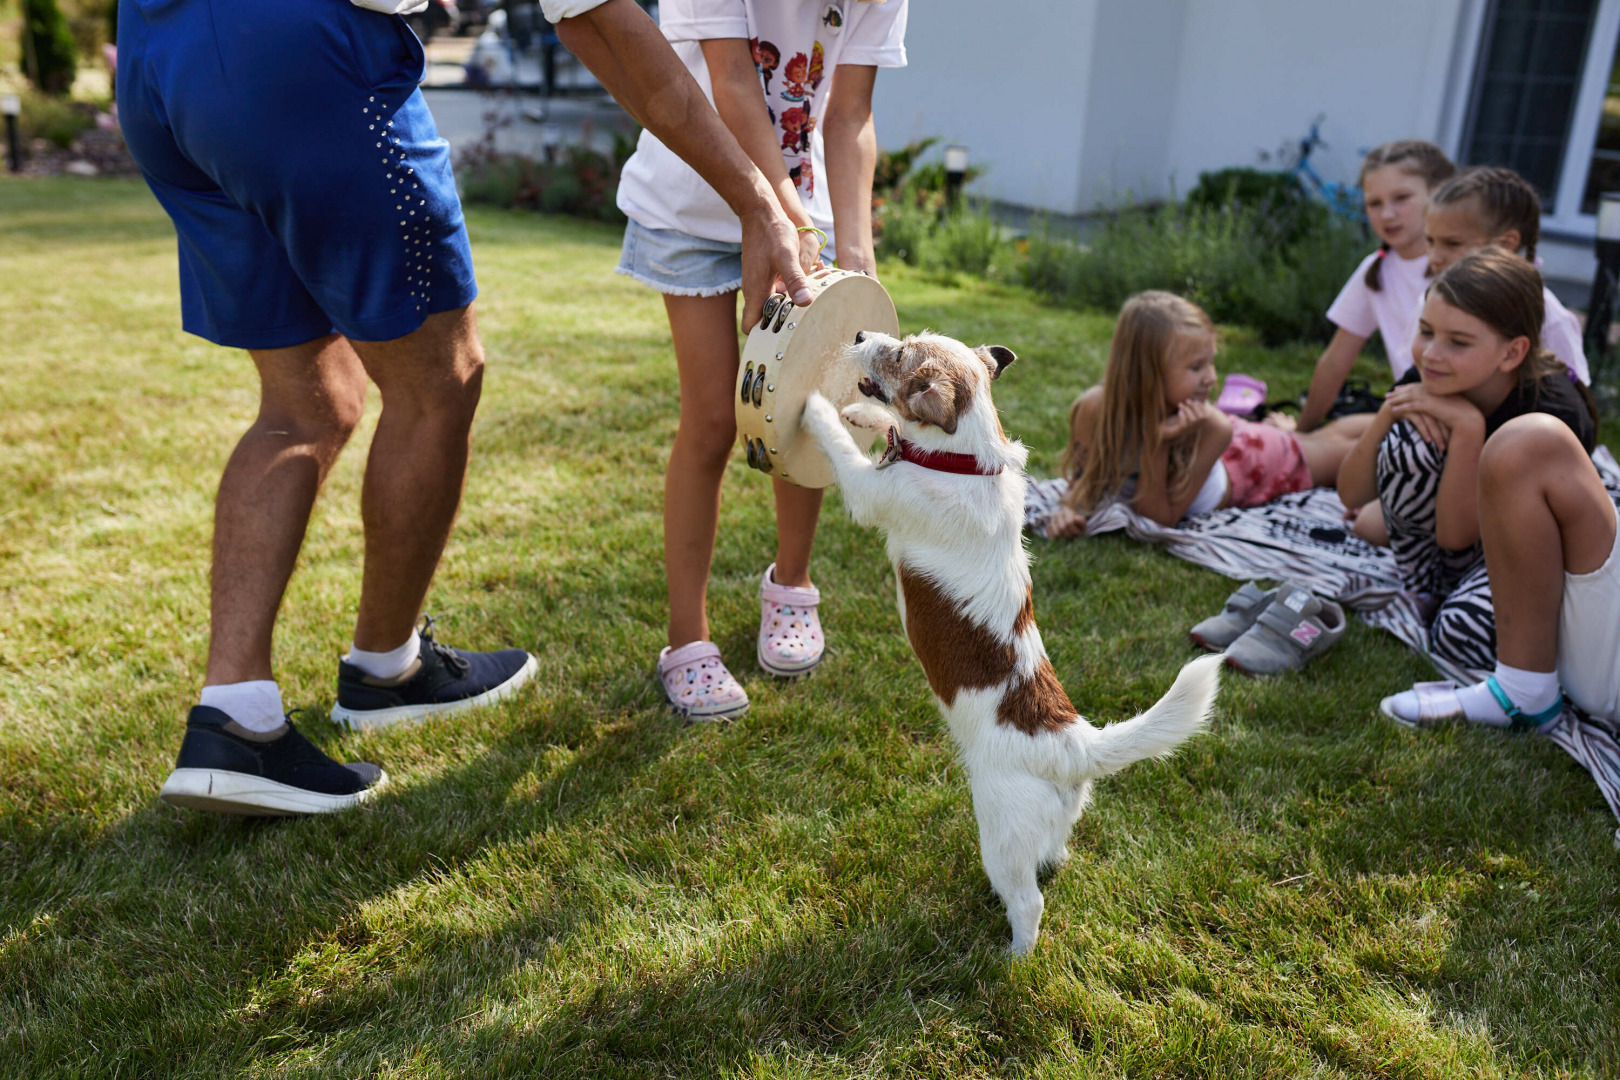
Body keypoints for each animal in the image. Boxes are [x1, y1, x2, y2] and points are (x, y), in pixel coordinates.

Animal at [803, 331, 1218, 952]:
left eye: (899, 355)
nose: (858, 336)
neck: (965, 462)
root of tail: (1073, 744)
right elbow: (889, 428)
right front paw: (861, 412)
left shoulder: (871, 490)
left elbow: (843, 452)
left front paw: (817, 409)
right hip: (1050, 823)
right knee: (1053, 858)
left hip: (1000, 833)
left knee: (1028, 900)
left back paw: (1013, 957)